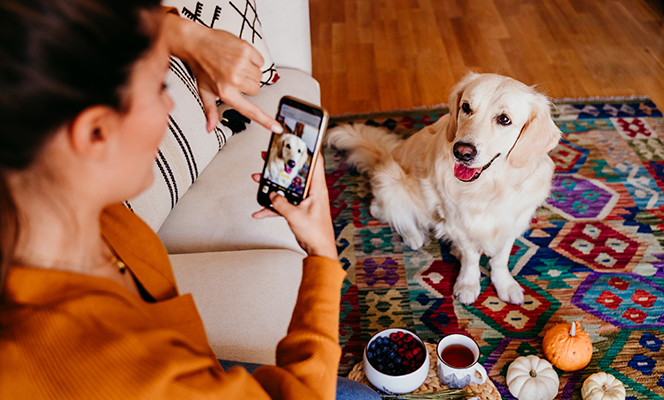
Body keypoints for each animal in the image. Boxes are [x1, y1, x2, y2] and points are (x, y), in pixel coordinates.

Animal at [326, 73, 560, 304]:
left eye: (504, 119)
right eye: (466, 107)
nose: (462, 151)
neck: (489, 187)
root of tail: (384, 157)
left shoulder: (513, 220)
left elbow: (501, 258)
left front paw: (504, 284)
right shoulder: (456, 222)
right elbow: (471, 257)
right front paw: (468, 284)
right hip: (391, 179)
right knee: (384, 211)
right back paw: (413, 236)